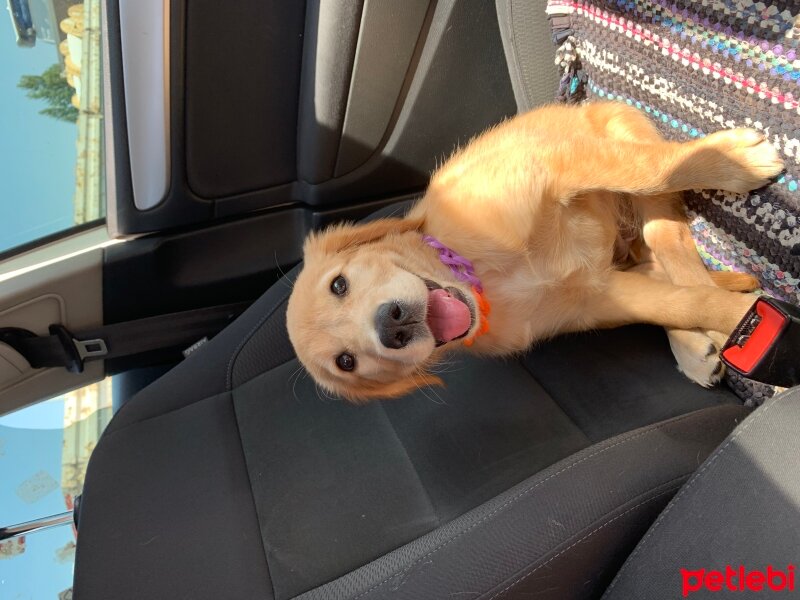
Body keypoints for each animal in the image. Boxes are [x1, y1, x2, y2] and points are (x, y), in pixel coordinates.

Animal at [284, 102, 784, 404]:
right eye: (346, 362)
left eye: (339, 284)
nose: (392, 326)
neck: (484, 279)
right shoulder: (596, 297)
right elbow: (686, 303)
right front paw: (742, 323)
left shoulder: (557, 166)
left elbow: (650, 171)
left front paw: (738, 162)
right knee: (660, 265)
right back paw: (704, 342)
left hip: (620, 129)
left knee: (667, 231)